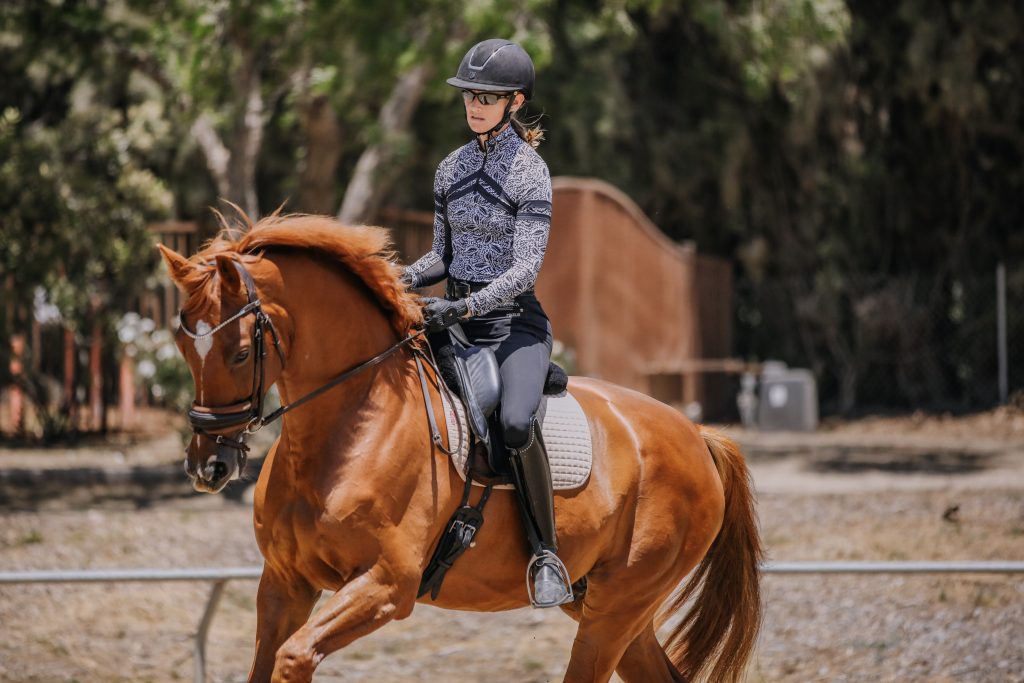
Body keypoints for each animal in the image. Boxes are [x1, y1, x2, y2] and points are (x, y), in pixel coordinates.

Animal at [158, 212, 763, 683]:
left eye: (239, 353)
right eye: (183, 346)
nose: (209, 466)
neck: (348, 426)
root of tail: (696, 435)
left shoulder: (385, 586)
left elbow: (293, 658)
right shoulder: (284, 584)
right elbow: (269, 661)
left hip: (616, 608)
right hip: (602, 605)